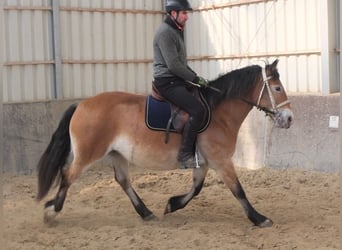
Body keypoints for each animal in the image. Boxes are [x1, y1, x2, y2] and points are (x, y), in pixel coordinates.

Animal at [36, 59, 294, 228]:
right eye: (277, 88)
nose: (289, 118)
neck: (219, 112)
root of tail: (81, 103)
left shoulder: (204, 162)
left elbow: (196, 188)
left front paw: (172, 204)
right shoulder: (221, 161)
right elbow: (238, 190)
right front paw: (259, 218)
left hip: (117, 154)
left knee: (122, 180)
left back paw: (146, 213)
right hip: (88, 153)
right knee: (68, 175)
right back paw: (51, 211)